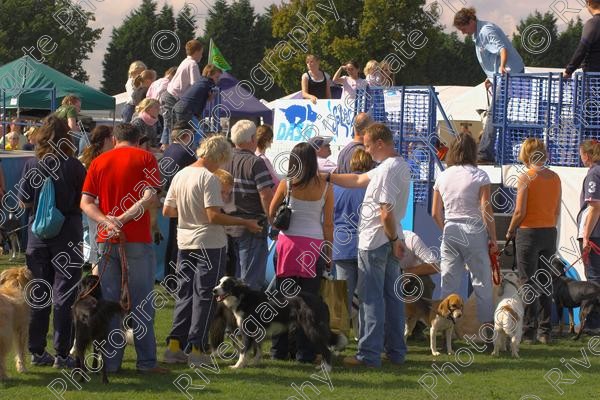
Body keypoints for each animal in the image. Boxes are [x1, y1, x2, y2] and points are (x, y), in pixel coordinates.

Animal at [214, 276, 346, 372]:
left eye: (225, 285)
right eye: (219, 282)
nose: (213, 290)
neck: (242, 297)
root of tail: (321, 300)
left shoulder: (248, 330)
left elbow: (244, 350)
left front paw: (238, 366)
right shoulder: (258, 331)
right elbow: (258, 348)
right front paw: (255, 362)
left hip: (312, 329)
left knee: (326, 350)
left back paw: (326, 369)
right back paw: (322, 366)